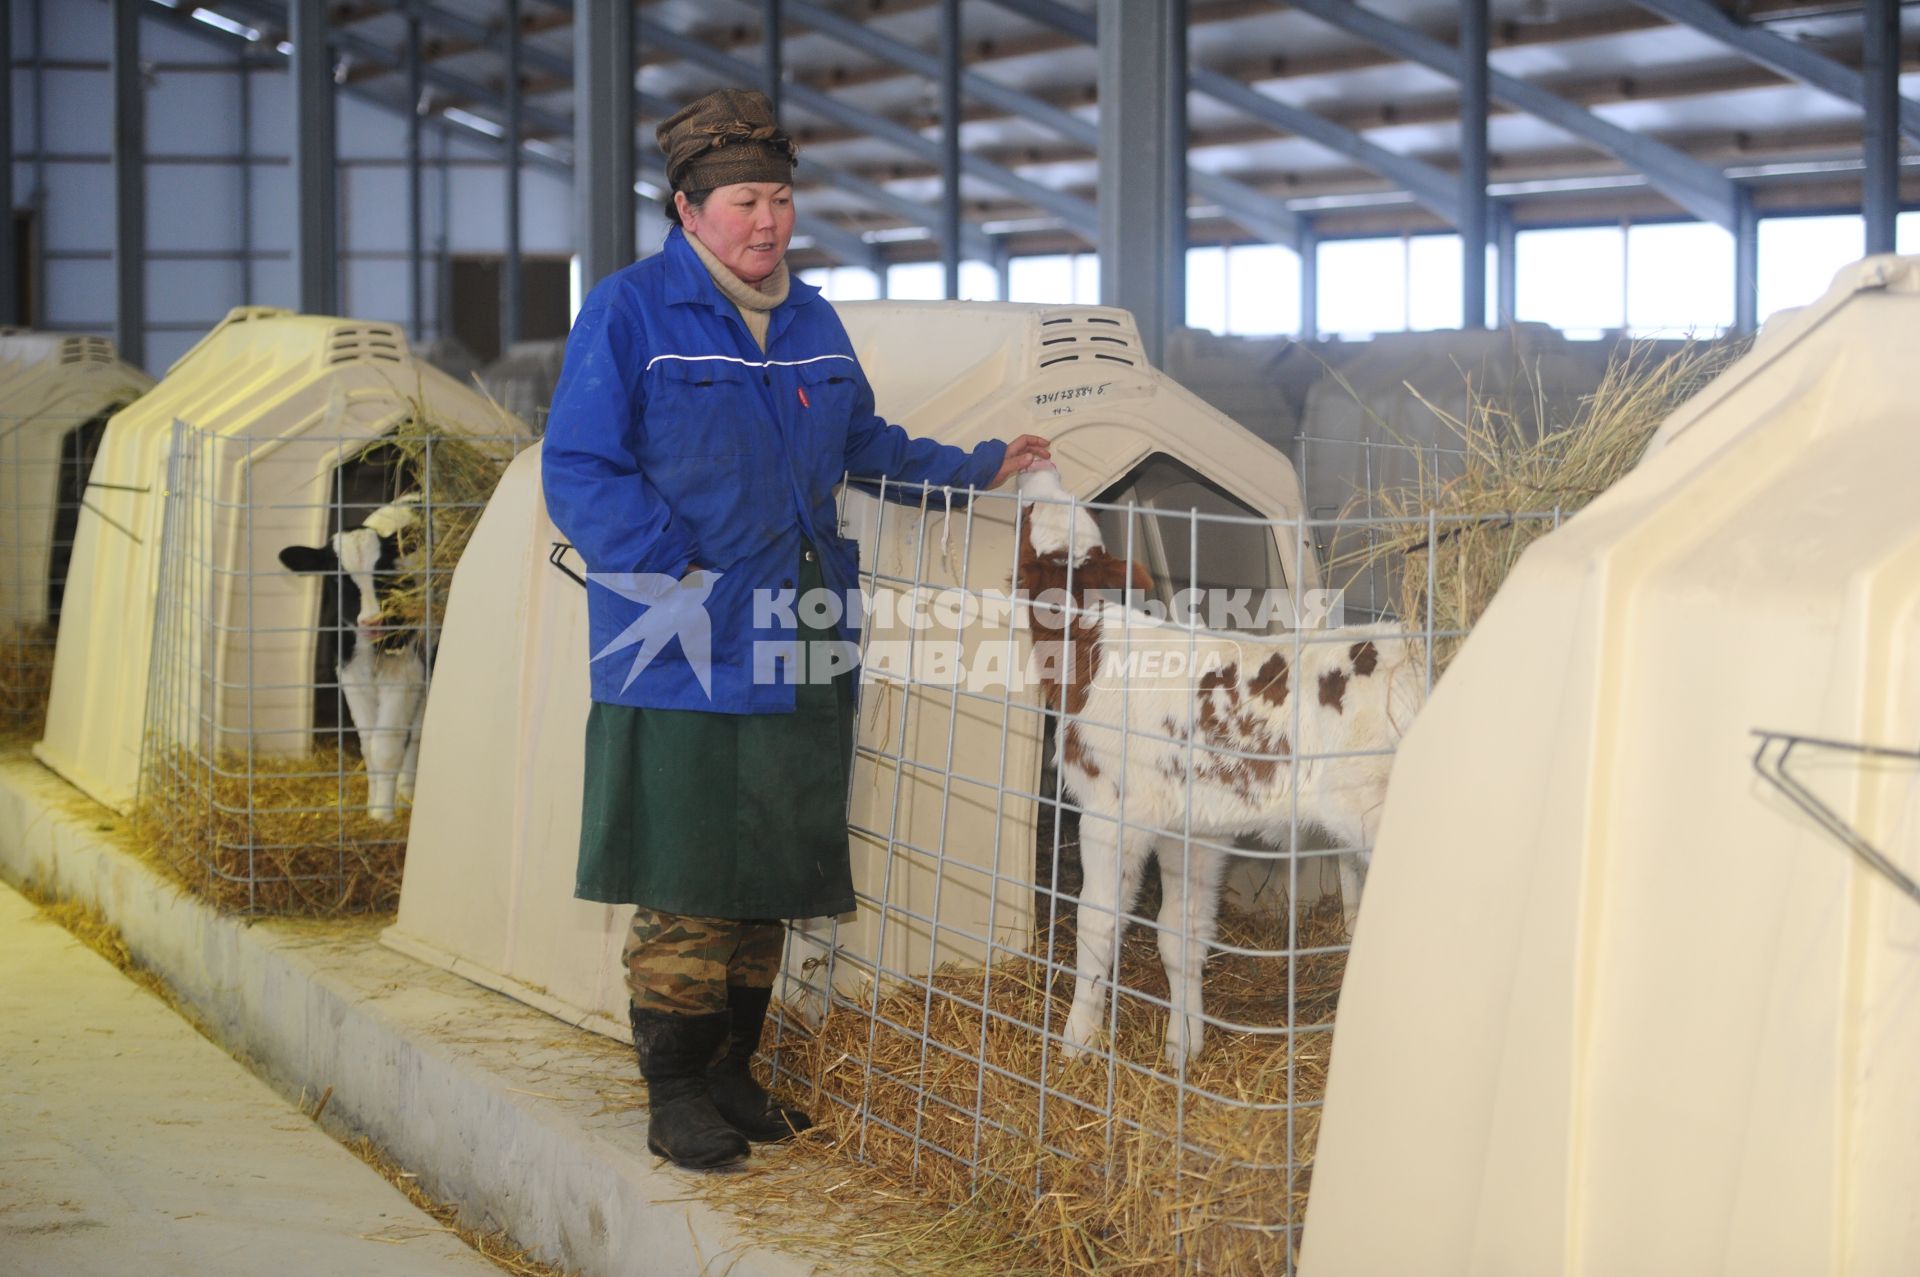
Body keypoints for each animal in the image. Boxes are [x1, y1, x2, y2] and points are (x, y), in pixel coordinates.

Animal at [278, 491, 428, 821]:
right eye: (337, 580)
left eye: (384, 572)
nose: (372, 621)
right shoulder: (351, 675)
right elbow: (369, 746)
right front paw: (374, 804)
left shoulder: (405, 671)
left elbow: (386, 747)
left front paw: (383, 816)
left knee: (416, 730)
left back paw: (406, 791)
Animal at [1021, 468, 1428, 1067]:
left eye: (1030, 512)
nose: (1036, 466)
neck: (1093, 651)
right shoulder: (1193, 830)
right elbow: (1181, 931)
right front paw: (1182, 1045)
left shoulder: (1109, 810)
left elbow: (1096, 923)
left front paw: (1076, 1042)